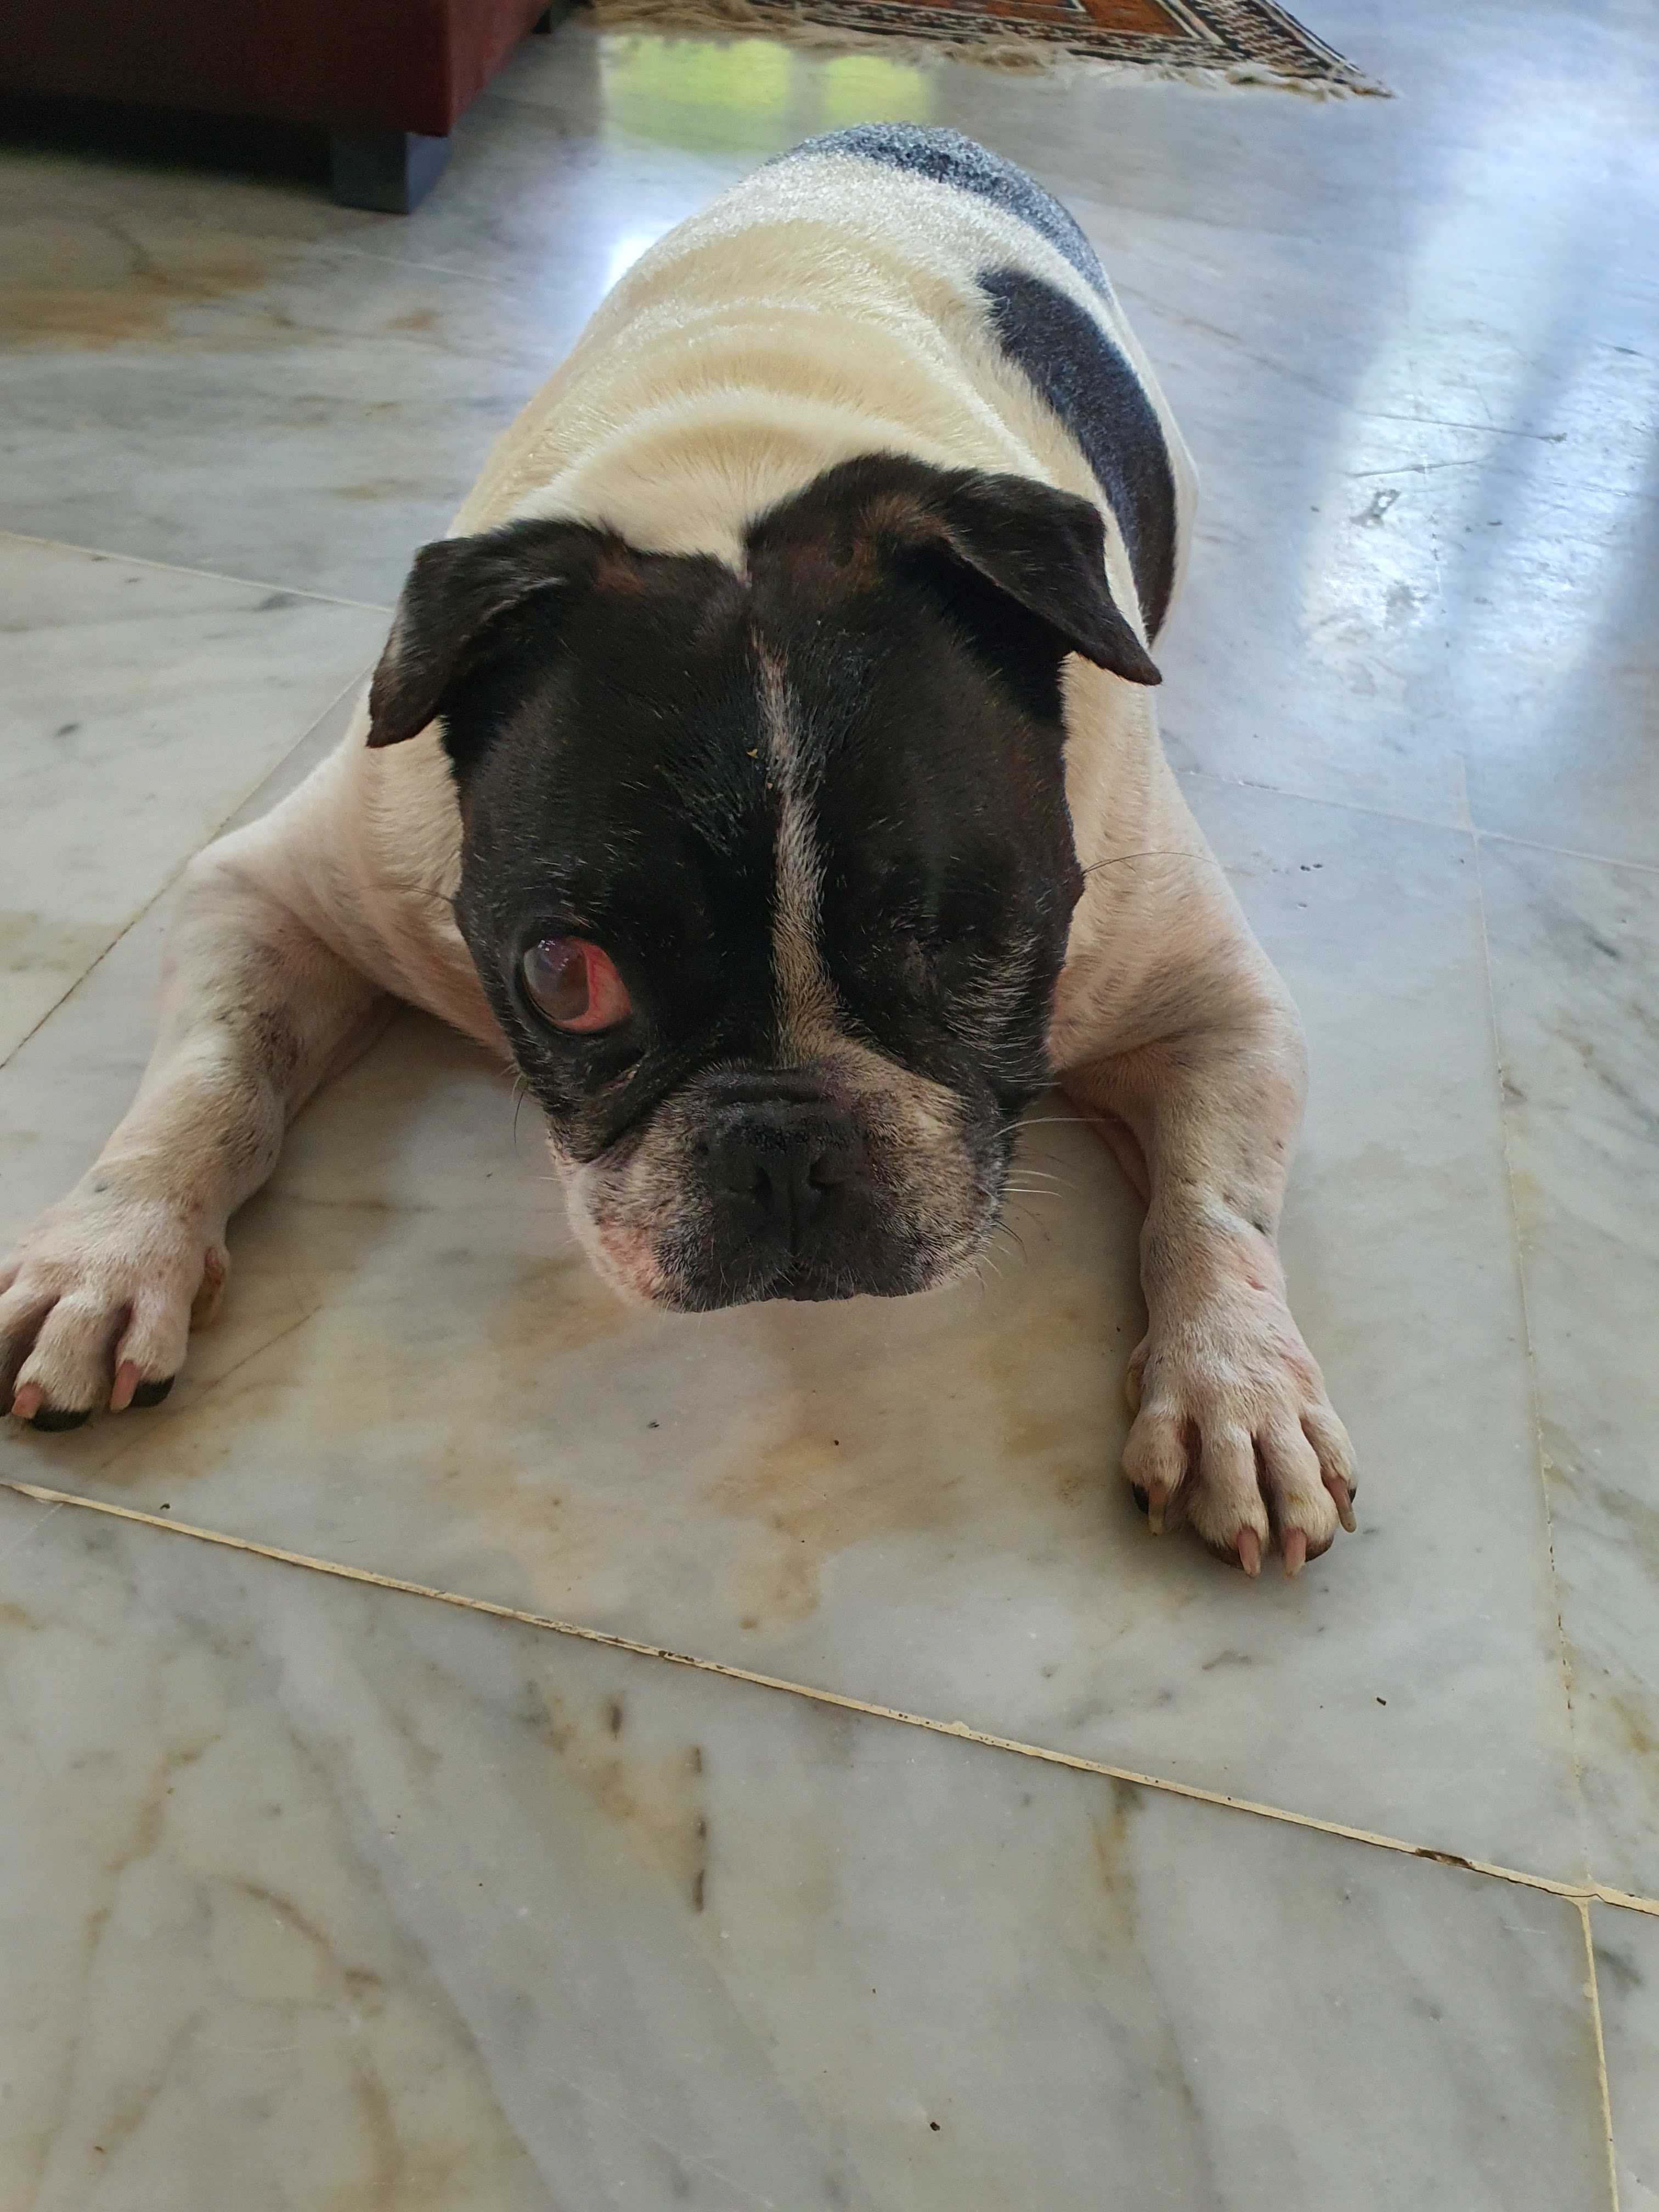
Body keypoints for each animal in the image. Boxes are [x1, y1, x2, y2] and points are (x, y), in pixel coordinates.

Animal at [0, 126, 1355, 1574]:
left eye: (974, 941)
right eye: (565, 976)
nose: (782, 1140)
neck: (740, 478)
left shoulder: (1216, 1009)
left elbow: (1216, 1209)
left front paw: (1237, 1386)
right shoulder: (271, 895)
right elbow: (213, 1080)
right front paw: (106, 1254)